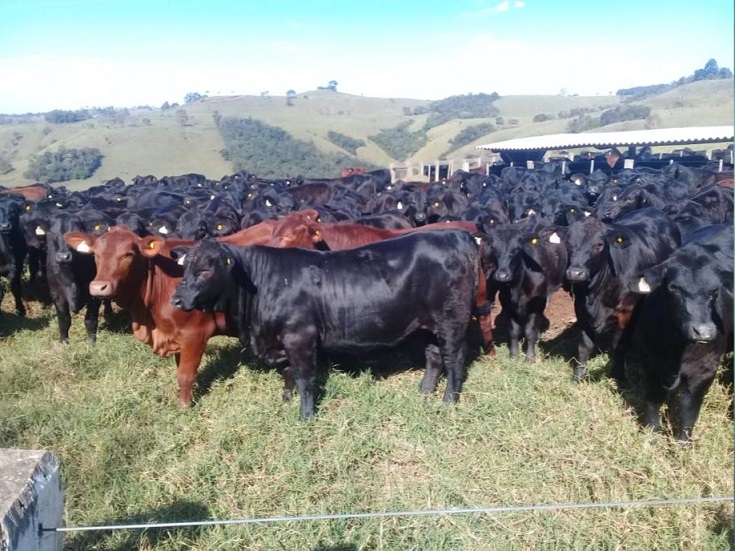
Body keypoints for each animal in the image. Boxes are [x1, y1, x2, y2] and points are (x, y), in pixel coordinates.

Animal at [172, 232, 484, 418]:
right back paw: (424, 393)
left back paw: (449, 400)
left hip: (451, 320)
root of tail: (455, 234)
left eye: (206, 269)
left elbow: (305, 377)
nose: (176, 299)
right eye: (184, 267)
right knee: (434, 357)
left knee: (454, 359)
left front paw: (306, 415)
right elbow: (287, 374)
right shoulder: (281, 342)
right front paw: (286, 403)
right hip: (428, 324)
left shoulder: (300, 337)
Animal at [560, 209, 680, 382]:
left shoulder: (627, 313)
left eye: (599, 245)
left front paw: (619, 375)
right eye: (568, 243)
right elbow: (584, 346)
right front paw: (578, 376)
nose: (575, 273)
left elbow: (620, 345)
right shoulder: (581, 310)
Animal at [636, 222, 732, 442]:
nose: (703, 331)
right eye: (674, 288)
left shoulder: (705, 368)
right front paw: (652, 433)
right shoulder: (650, 360)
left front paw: (682, 441)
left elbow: (688, 408)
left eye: (715, 291)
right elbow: (652, 398)